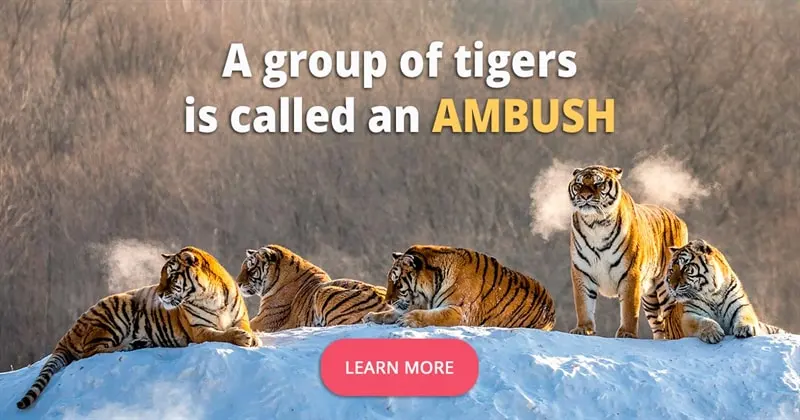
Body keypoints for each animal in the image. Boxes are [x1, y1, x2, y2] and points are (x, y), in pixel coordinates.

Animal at [16, 246, 259, 410]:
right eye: (161, 276)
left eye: (171, 276)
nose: (159, 294)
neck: (211, 296)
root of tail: (68, 332)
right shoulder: (198, 331)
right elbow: (221, 335)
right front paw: (241, 338)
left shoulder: (240, 317)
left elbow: (244, 327)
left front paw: (252, 336)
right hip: (113, 314)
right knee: (90, 351)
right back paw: (130, 345)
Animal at [363, 245, 556, 330]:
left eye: (396, 282)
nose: (387, 301)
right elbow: (393, 313)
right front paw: (372, 316)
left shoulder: (460, 312)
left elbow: (433, 316)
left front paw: (409, 319)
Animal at [568, 165, 688, 339]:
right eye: (578, 185)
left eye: (598, 184)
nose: (584, 196)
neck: (595, 223)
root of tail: (679, 219)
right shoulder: (582, 271)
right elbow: (583, 304)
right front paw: (584, 329)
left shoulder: (630, 273)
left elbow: (629, 309)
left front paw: (627, 333)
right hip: (650, 298)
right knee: (659, 325)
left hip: (666, 289)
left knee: (671, 317)